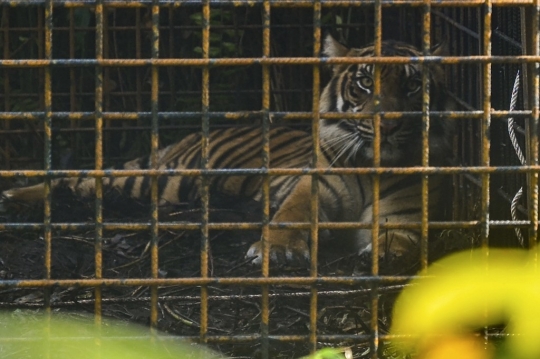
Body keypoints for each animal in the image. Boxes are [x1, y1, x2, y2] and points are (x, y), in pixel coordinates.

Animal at [0, 35, 456, 268]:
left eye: (413, 85)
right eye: (364, 83)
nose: (390, 124)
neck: (371, 166)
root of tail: (187, 138)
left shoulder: (406, 213)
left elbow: (399, 238)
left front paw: (386, 253)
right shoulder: (312, 187)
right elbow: (291, 217)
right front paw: (277, 250)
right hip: (163, 181)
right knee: (78, 180)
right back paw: (15, 197)